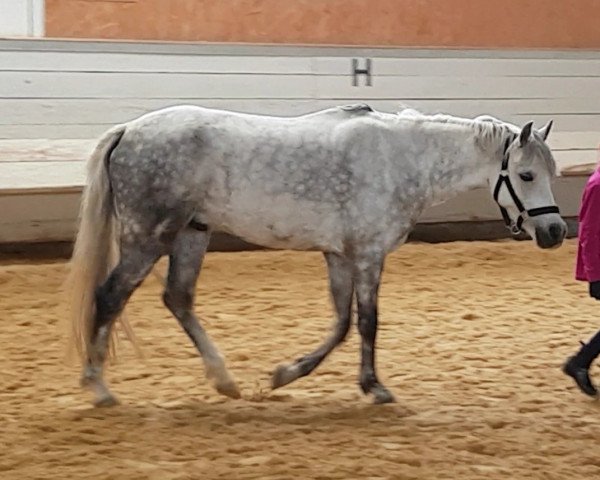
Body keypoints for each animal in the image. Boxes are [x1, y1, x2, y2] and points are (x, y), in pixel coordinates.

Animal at [68, 103, 564, 406]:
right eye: (526, 174)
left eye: (551, 172)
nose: (556, 231)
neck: (401, 159)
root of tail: (129, 131)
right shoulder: (367, 254)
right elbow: (367, 322)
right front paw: (375, 387)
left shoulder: (340, 255)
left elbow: (342, 323)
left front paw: (287, 373)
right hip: (148, 238)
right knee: (110, 296)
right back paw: (98, 388)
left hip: (192, 234)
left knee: (178, 298)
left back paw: (224, 380)